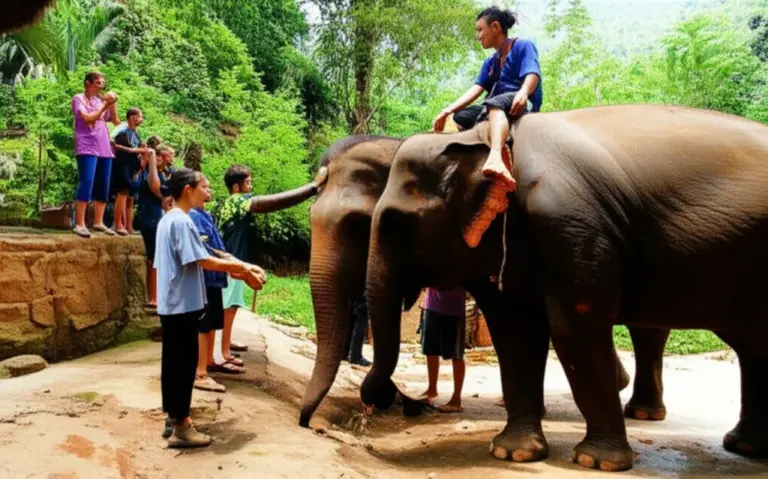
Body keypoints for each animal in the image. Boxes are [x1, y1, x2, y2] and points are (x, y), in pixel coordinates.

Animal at [360, 104, 768, 471]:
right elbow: (515, 330)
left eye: (398, 223)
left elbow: (575, 326)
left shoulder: (569, 223)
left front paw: (597, 461)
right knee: (751, 345)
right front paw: (512, 453)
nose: (373, 404)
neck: (481, 141)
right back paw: (745, 446)